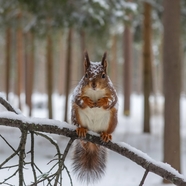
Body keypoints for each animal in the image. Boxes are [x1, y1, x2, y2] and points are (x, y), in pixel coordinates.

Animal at [71, 51, 117, 184]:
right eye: (86, 75)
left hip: (112, 118)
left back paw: (106, 134)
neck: (95, 92)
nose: (94, 84)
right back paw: (81, 130)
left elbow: (111, 101)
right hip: (76, 114)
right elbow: (79, 99)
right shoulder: (77, 92)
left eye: (103, 75)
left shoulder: (113, 93)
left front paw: (102, 102)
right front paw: (87, 101)